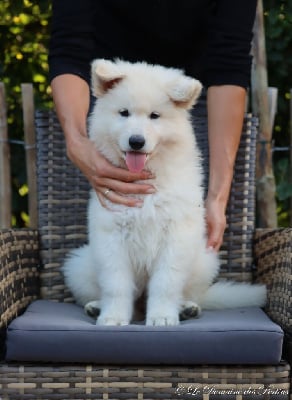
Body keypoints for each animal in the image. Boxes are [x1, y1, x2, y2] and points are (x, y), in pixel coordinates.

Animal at [62, 61, 266, 326]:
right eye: (124, 113)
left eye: (154, 116)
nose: (136, 141)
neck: (148, 177)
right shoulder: (111, 237)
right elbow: (116, 284)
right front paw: (113, 317)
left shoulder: (176, 236)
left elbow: (166, 283)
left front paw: (162, 317)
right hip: (80, 263)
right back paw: (97, 307)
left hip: (204, 260)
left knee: (190, 294)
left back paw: (186, 308)